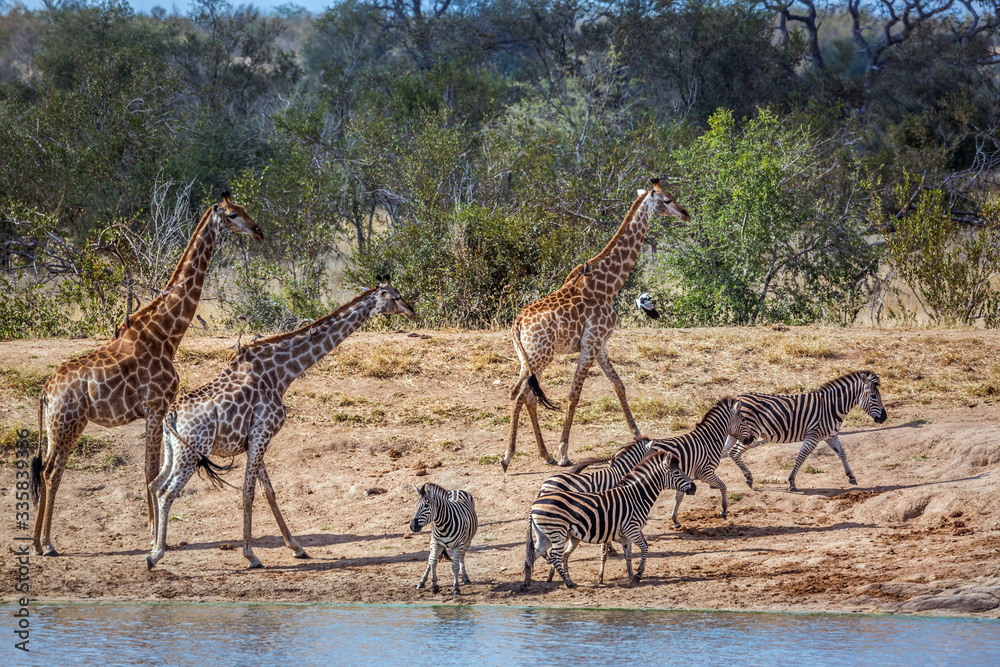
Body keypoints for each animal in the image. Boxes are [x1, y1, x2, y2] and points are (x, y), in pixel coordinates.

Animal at [29, 193, 264, 556]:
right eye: (231, 214)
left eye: (243, 211)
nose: (258, 231)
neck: (166, 334)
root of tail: (46, 392)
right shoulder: (156, 407)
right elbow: (152, 470)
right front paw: (154, 534)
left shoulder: (157, 411)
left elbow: (153, 470)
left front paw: (156, 532)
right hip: (69, 423)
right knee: (53, 471)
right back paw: (49, 544)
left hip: (57, 426)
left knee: (43, 470)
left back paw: (37, 543)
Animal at [145, 280, 417, 570]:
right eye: (397, 296)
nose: (412, 312)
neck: (281, 373)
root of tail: (171, 414)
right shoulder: (263, 432)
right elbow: (248, 493)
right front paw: (251, 555)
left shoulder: (254, 439)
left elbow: (269, 492)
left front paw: (296, 547)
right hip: (192, 452)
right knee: (166, 492)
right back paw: (155, 555)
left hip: (174, 450)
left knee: (155, 483)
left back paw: (154, 545)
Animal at [500, 178, 691, 473]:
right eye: (667, 200)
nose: (686, 214)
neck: (609, 284)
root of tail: (518, 324)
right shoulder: (590, 345)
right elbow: (574, 394)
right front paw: (565, 452)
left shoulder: (601, 346)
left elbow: (619, 384)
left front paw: (638, 435)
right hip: (542, 355)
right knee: (518, 393)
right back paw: (509, 457)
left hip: (528, 358)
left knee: (525, 394)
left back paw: (544, 454)